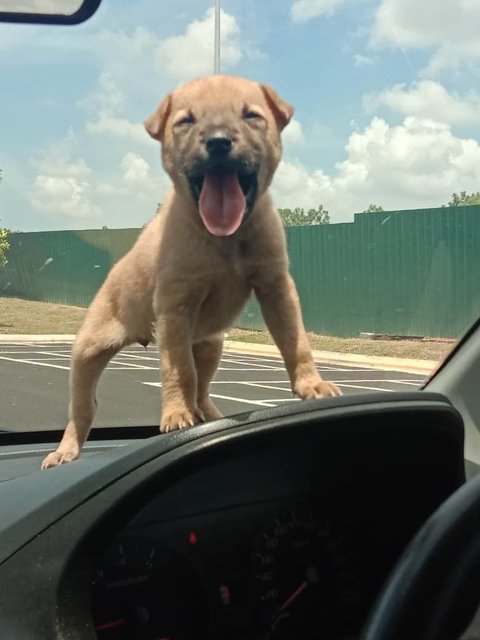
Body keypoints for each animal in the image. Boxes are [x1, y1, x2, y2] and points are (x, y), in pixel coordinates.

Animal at [42, 76, 342, 470]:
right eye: (185, 121)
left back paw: (213, 418)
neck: (225, 238)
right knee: (83, 407)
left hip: (212, 344)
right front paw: (175, 414)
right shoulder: (175, 307)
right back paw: (67, 450)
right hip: (88, 351)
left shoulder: (276, 288)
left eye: (251, 115)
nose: (217, 140)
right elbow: (178, 369)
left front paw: (311, 385)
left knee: (203, 389)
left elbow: (296, 342)